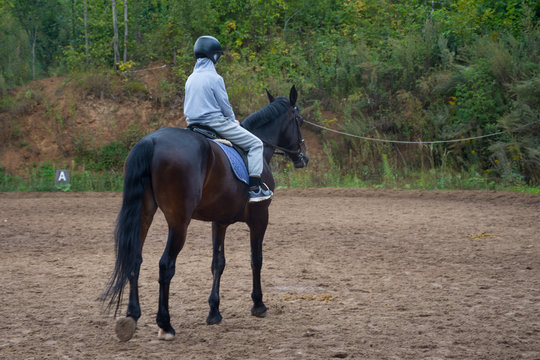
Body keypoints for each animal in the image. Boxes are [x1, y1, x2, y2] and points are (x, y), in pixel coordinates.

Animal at [99, 84, 306, 340]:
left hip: (143, 215)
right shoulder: (260, 218)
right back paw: (165, 324)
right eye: (299, 120)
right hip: (179, 222)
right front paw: (258, 305)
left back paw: (132, 316)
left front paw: (214, 311)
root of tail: (151, 141)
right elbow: (256, 259)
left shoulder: (219, 222)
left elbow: (218, 263)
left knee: (135, 259)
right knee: (165, 265)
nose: (303, 157)